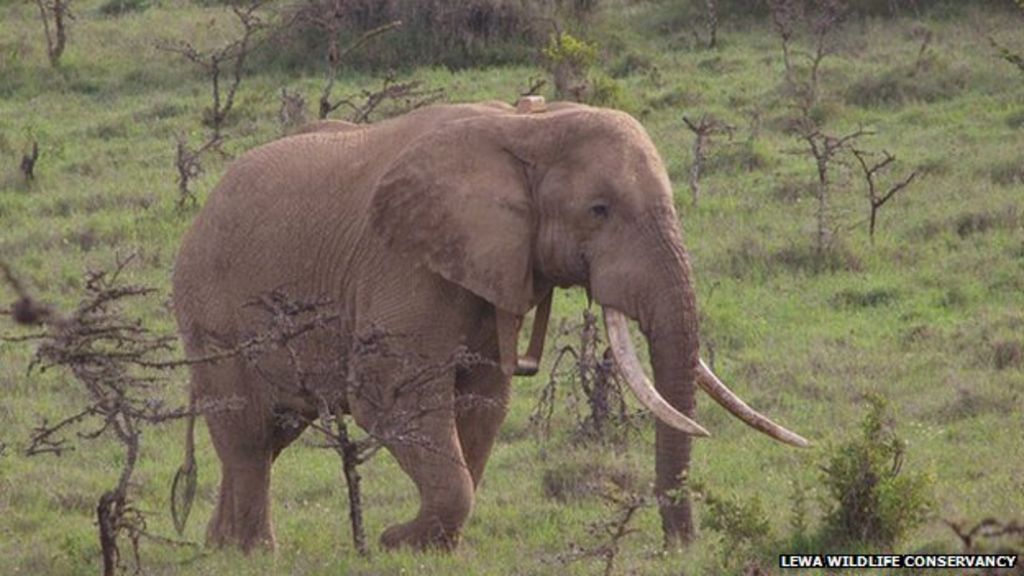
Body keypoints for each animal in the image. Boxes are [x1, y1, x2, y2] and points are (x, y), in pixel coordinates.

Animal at [171, 100, 808, 553]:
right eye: (598, 211)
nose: (680, 547)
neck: (529, 127)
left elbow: (482, 401)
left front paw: (431, 548)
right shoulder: (403, 259)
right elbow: (388, 396)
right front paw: (397, 541)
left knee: (272, 433)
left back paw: (220, 547)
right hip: (210, 313)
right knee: (248, 434)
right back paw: (255, 551)